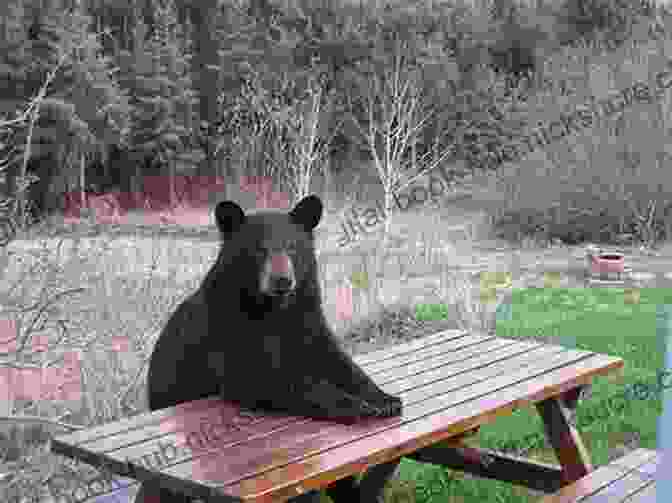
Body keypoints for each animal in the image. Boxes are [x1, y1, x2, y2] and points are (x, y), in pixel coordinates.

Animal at [134, 196, 402, 503]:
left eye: (292, 247)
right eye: (259, 249)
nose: (282, 280)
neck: (274, 311)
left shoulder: (307, 321)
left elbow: (337, 361)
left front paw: (385, 399)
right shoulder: (226, 331)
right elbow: (266, 378)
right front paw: (357, 406)